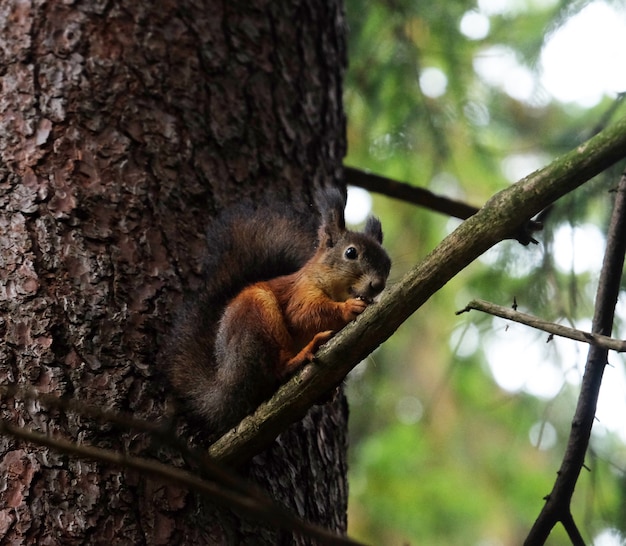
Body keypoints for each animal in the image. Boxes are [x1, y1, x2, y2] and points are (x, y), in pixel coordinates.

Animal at [165, 187, 390, 434]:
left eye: (388, 263)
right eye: (351, 253)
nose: (377, 285)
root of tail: (225, 387)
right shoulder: (300, 292)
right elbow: (303, 315)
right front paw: (349, 308)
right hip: (255, 319)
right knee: (276, 370)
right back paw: (301, 356)